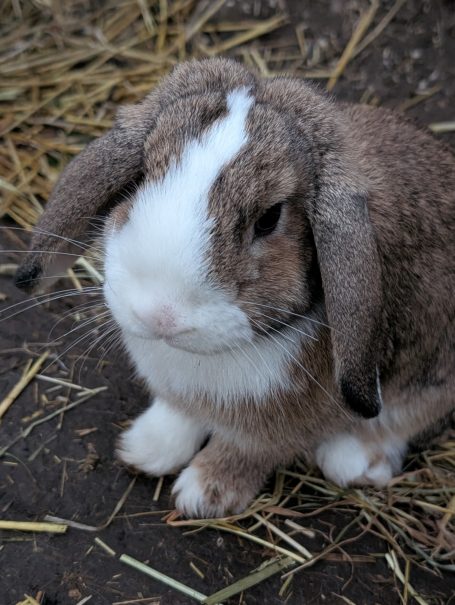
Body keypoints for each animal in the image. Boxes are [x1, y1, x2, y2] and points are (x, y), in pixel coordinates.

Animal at [15, 57, 455, 518]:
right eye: (142, 177)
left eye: (269, 218)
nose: (158, 315)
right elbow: (177, 415)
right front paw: (145, 448)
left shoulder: (274, 430)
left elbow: (249, 450)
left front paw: (203, 493)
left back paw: (360, 461)